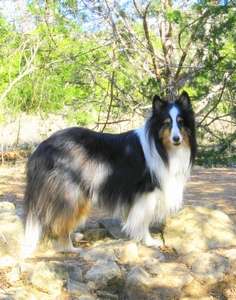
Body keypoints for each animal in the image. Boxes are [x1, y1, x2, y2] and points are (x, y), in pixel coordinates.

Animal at [21, 90, 196, 256]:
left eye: (181, 122)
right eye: (167, 123)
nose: (176, 139)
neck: (161, 148)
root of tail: (41, 148)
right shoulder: (147, 193)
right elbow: (143, 220)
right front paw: (149, 241)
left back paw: (75, 237)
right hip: (70, 193)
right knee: (59, 221)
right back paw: (70, 248)